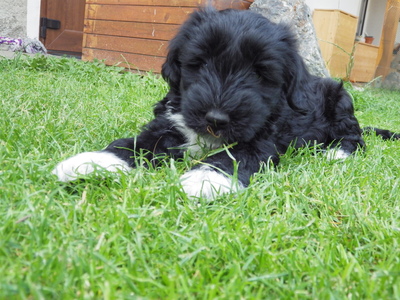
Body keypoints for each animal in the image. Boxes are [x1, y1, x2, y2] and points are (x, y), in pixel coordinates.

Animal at [52, 7, 396, 199]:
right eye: (201, 62)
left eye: (259, 73)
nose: (216, 119)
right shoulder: (172, 122)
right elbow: (140, 142)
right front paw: (94, 162)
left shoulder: (262, 139)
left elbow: (235, 155)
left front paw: (204, 178)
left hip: (340, 98)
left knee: (355, 136)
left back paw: (336, 152)